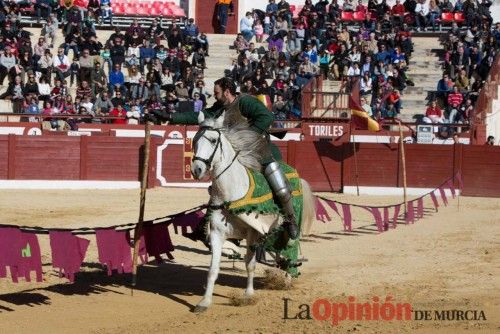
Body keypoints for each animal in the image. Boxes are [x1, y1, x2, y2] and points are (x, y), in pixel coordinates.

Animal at [189, 113, 314, 314]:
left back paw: (288, 277)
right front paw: (204, 302)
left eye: (214, 140)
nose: (197, 170)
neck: (231, 193)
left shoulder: (253, 232)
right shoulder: (217, 233)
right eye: (194, 140)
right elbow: (213, 269)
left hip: (290, 225)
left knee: (292, 247)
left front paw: (248, 295)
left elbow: (250, 264)